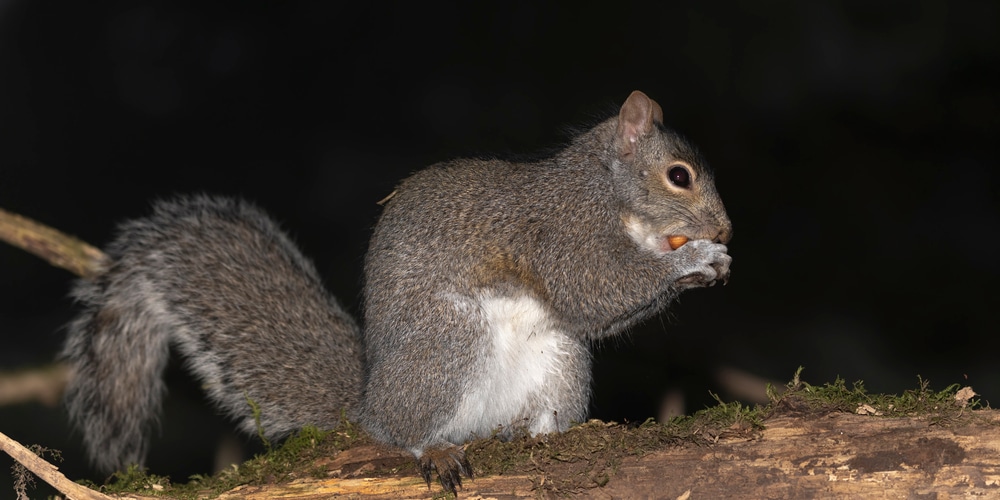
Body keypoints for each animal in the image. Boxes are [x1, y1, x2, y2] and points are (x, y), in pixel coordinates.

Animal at [64, 90, 736, 492]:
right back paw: (433, 450)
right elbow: (594, 289)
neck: (603, 192)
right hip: (447, 343)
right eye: (679, 176)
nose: (726, 229)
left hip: (560, 361)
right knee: (401, 435)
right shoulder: (557, 234)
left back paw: (539, 435)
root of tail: (369, 403)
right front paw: (697, 260)